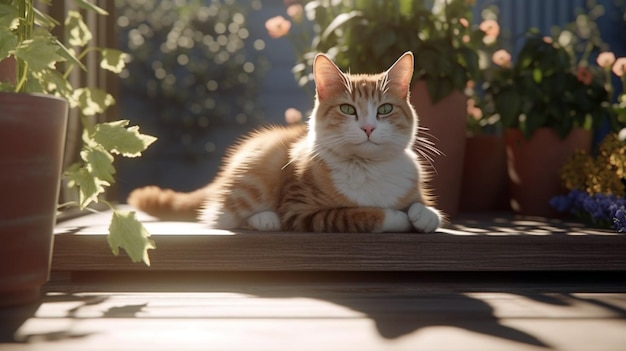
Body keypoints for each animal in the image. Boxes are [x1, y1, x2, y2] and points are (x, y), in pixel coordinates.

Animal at [125, 52, 438, 234]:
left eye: (385, 109)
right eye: (347, 109)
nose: (369, 127)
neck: (367, 168)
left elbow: (424, 208)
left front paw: (424, 216)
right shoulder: (300, 210)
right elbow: (361, 214)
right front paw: (397, 218)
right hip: (262, 168)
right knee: (222, 213)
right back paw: (264, 219)